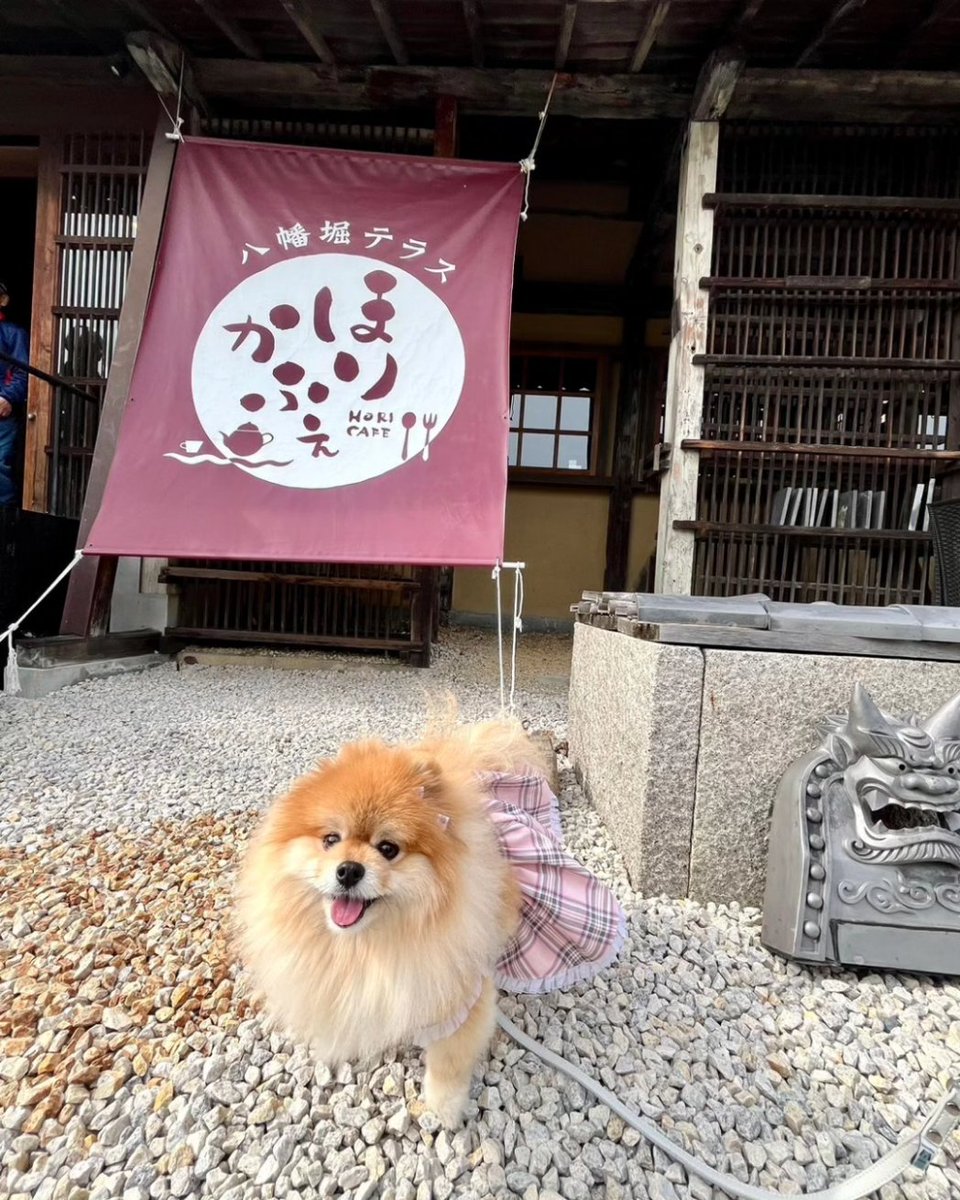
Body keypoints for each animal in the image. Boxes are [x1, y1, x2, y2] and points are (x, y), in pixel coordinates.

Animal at [234, 710, 547, 1123]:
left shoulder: (463, 996)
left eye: (388, 849)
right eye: (331, 840)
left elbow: (450, 1057)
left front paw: (444, 1107)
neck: (368, 946)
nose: (349, 870)